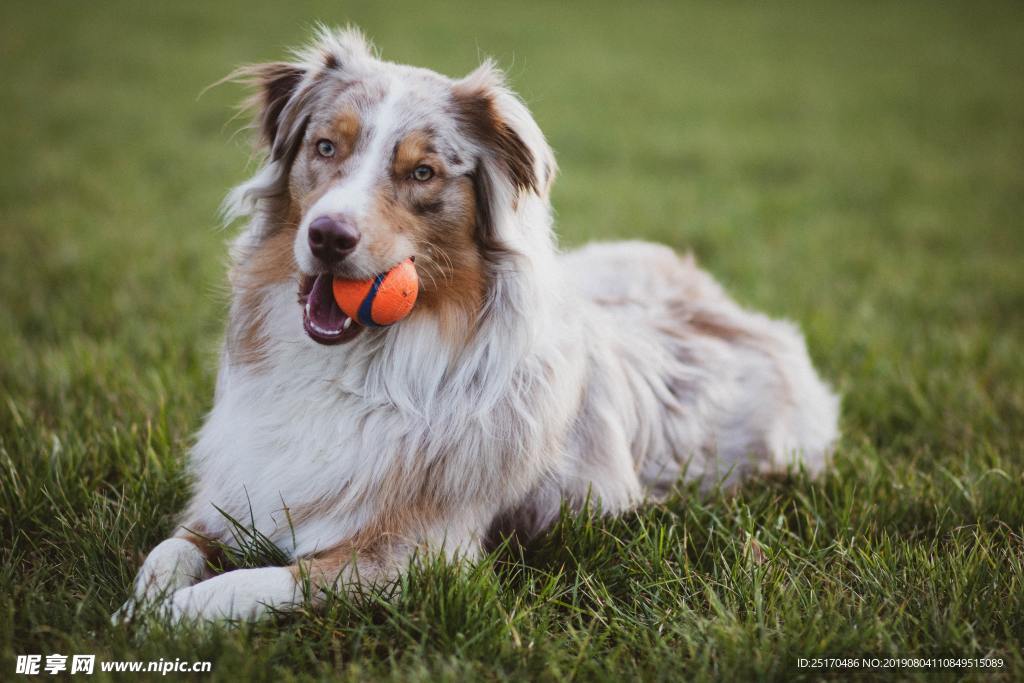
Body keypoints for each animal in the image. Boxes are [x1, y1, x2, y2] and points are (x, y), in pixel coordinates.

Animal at [117, 26, 839, 626]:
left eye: (422, 172)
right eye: (325, 146)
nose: (327, 236)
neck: (359, 366)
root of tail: (726, 302)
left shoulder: (418, 556)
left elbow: (265, 578)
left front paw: (172, 614)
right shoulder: (233, 496)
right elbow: (169, 549)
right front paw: (139, 602)